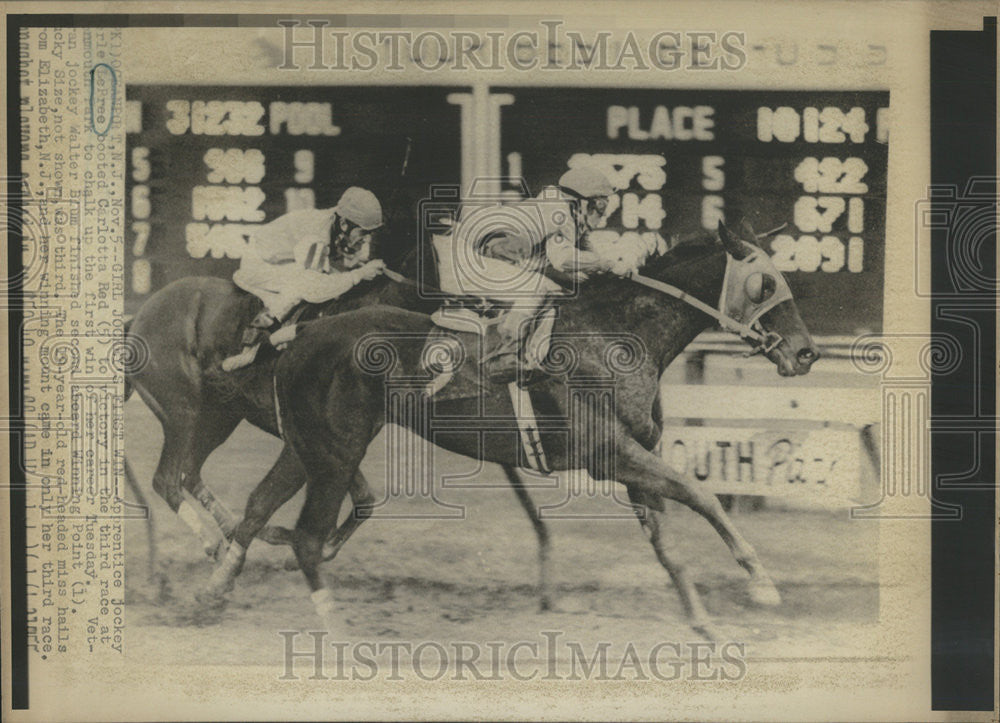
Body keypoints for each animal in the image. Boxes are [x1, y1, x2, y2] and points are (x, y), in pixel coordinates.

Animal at [205, 223, 820, 636]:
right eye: (766, 284)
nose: (806, 353)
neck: (615, 335)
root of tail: (299, 336)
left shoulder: (632, 461)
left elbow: (669, 546)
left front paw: (701, 621)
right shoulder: (610, 453)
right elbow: (701, 493)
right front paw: (761, 582)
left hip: (308, 444)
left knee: (259, 505)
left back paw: (212, 592)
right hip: (336, 450)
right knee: (306, 536)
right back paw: (330, 628)